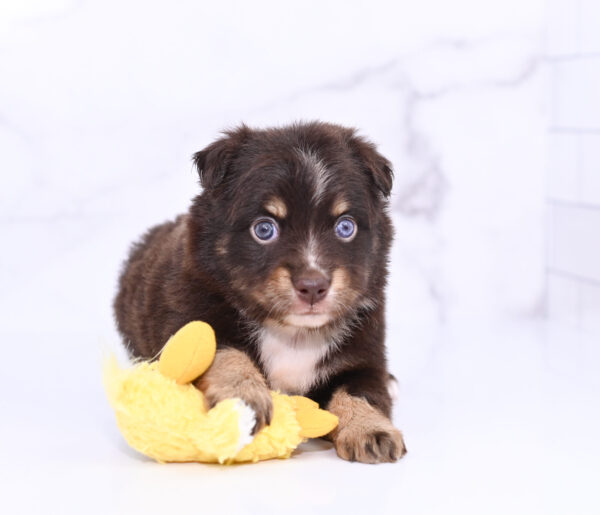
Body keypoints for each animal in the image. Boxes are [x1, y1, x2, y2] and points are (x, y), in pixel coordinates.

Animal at [115, 122, 406, 464]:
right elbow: (225, 353)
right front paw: (244, 398)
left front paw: (371, 429)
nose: (313, 286)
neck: (291, 334)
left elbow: (360, 392)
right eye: (264, 229)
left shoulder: (363, 354)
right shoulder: (190, 318)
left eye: (345, 227)